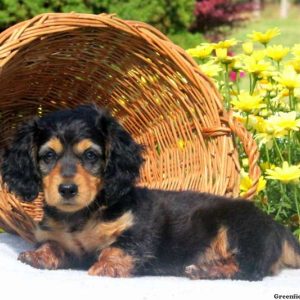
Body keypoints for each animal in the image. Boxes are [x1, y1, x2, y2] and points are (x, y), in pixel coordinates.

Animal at [0, 104, 300, 280]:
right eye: (48, 156)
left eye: (91, 155)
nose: (67, 189)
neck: (81, 216)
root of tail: (276, 226)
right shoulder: (60, 238)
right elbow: (52, 243)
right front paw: (38, 256)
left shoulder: (140, 231)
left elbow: (118, 248)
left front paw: (106, 267)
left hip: (240, 231)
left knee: (250, 269)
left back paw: (206, 269)